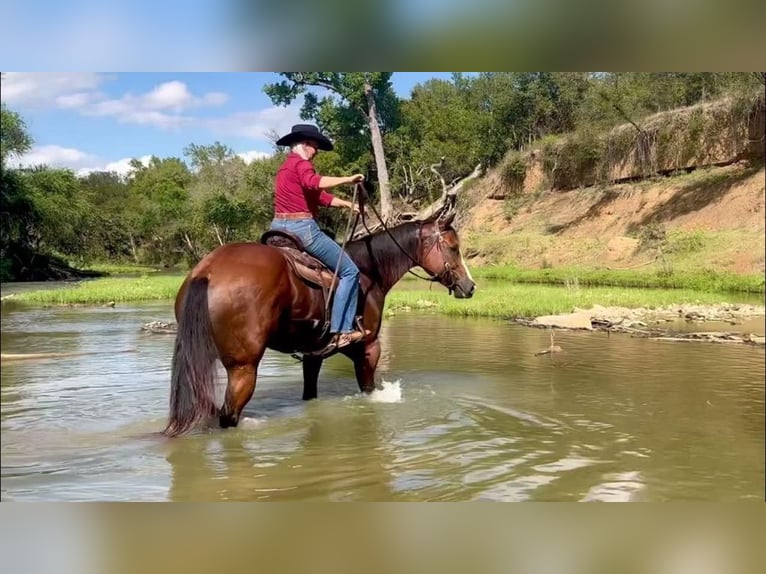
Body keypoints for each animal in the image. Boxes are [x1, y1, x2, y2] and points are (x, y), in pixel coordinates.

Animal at [162, 209, 476, 437]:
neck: (368, 272)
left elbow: (310, 394)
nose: (470, 286)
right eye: (453, 247)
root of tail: (206, 272)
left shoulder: (314, 354)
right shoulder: (368, 347)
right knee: (228, 415)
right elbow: (368, 390)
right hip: (243, 367)